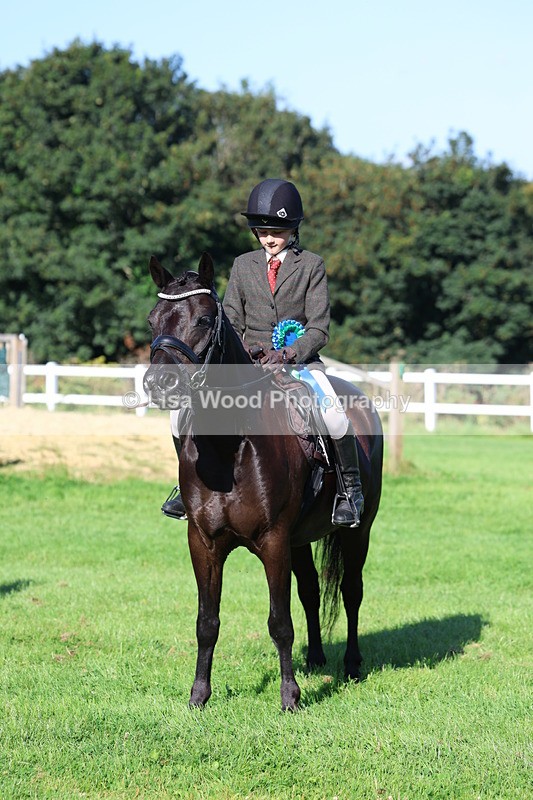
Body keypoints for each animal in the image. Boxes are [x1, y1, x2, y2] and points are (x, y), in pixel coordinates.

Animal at [143, 252, 383, 711]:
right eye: (152, 321)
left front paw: (290, 697)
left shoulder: (273, 541)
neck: (230, 449)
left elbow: (279, 622)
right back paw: (316, 658)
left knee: (351, 591)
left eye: (204, 319)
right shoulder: (203, 543)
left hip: (356, 531)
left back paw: (352, 664)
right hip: (300, 538)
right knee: (311, 590)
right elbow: (207, 621)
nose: (158, 384)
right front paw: (199, 695)